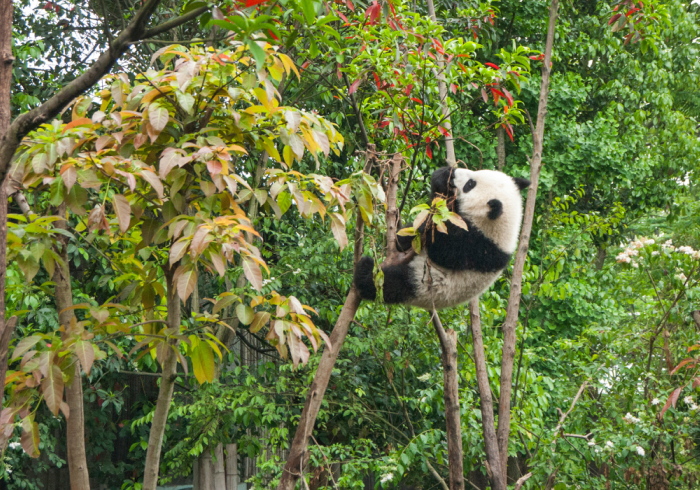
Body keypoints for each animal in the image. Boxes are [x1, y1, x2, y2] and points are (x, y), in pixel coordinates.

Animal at [356, 167, 532, 308]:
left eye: (470, 184)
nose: (455, 172)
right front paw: (442, 177)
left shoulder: (478, 248)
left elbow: (442, 251)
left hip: (424, 284)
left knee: (391, 284)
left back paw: (365, 270)